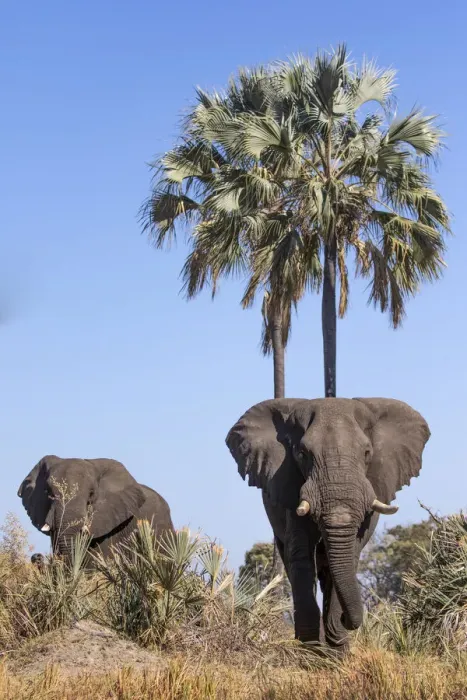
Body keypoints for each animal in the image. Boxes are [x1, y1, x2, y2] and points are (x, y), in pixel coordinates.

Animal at [226, 397, 430, 650]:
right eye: (302, 454)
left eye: (367, 453)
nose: (347, 620)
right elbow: (301, 556)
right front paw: (311, 649)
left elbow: (348, 555)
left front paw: (337, 650)